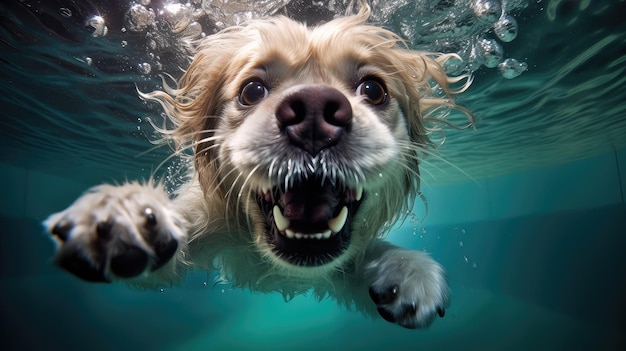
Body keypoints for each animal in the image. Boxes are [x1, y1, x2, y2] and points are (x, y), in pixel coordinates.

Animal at [44, 3, 470, 330]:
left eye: (374, 90)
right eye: (252, 90)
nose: (314, 111)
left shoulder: (334, 263)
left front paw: (406, 268)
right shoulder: (206, 221)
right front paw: (128, 216)